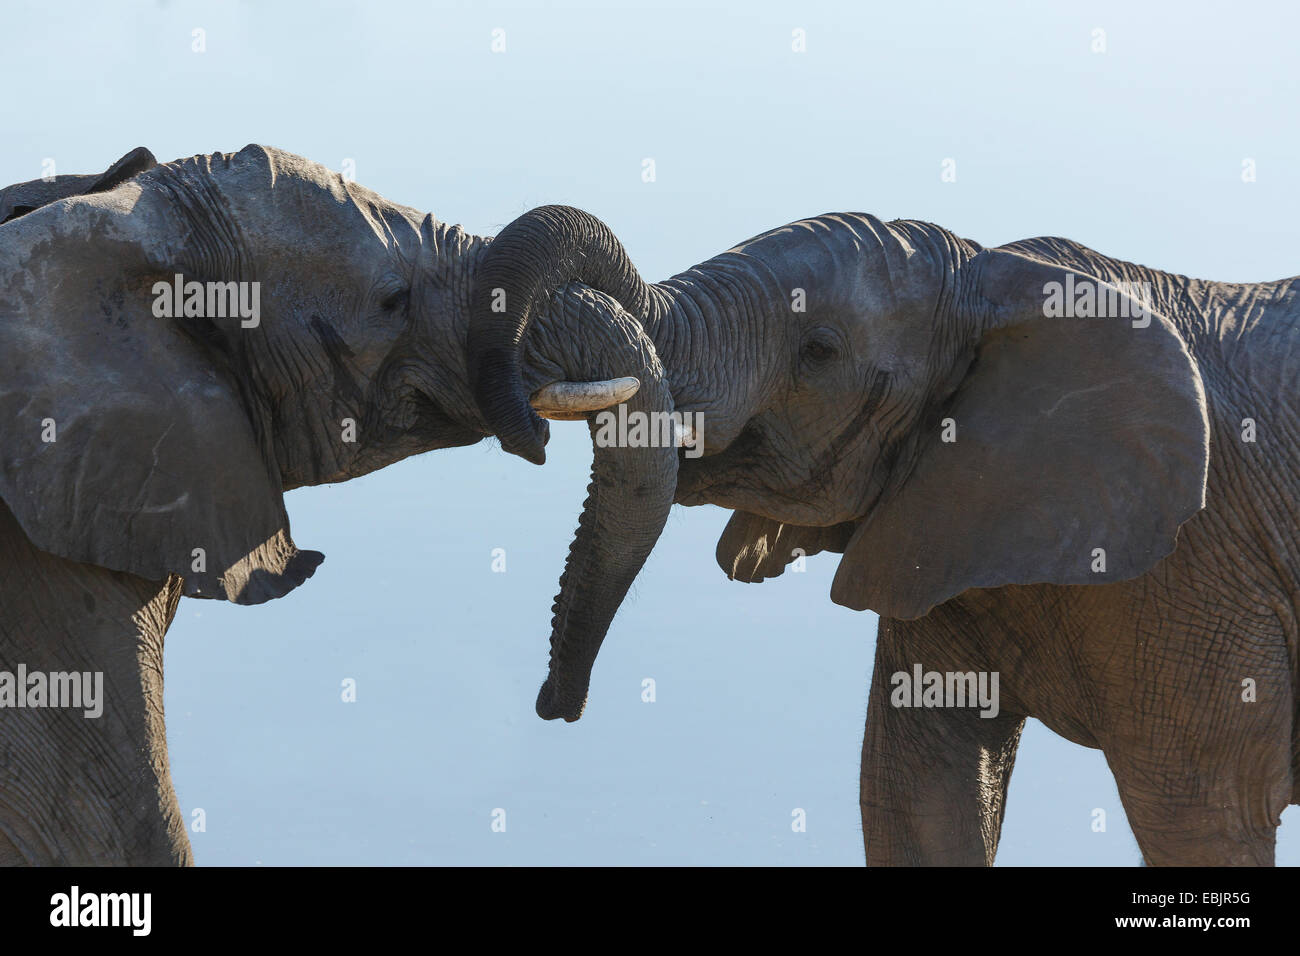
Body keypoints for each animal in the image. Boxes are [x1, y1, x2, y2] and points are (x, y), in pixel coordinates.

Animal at [473, 204, 1300, 868]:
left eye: (821, 350)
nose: (555, 705)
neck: (994, 280)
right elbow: (917, 798)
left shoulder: (1203, 571)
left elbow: (1199, 818)